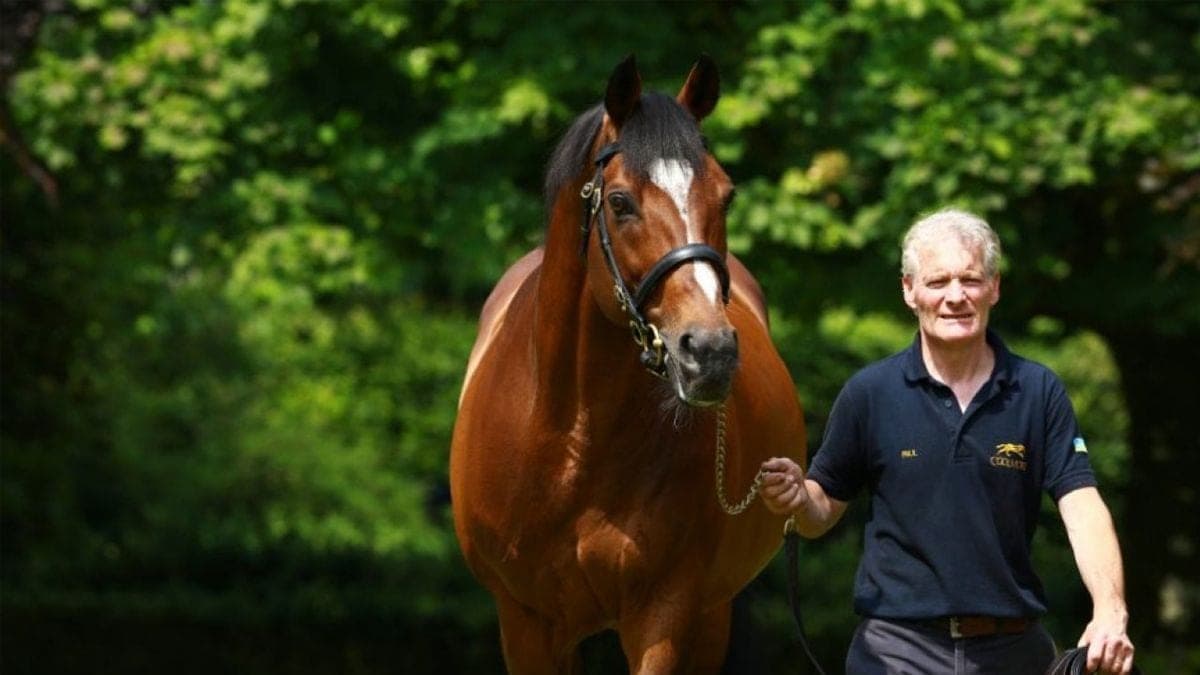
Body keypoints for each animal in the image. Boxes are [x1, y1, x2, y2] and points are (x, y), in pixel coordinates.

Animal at [450, 55, 807, 674]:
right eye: (619, 203)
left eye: (726, 196)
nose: (709, 351)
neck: (570, 441)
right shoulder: (525, 622)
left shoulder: (664, 612)